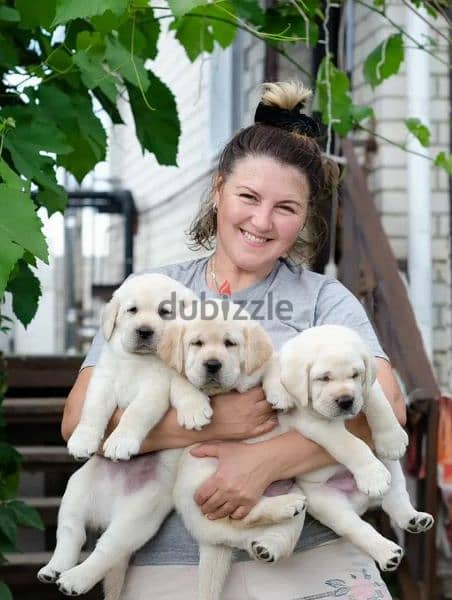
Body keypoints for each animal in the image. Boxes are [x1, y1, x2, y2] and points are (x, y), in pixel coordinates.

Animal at [38, 274, 213, 596]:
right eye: (132, 310)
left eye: (165, 312)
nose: (144, 331)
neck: (138, 362)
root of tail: (108, 510)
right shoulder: (103, 382)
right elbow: (93, 411)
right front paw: (83, 440)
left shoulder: (155, 389)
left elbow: (135, 414)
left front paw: (120, 443)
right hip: (76, 490)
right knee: (71, 533)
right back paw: (53, 568)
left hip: (135, 517)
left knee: (105, 550)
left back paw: (75, 579)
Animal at [159, 300, 308, 600]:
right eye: (196, 343)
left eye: (230, 343)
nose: (212, 365)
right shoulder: (176, 373)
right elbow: (182, 382)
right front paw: (194, 409)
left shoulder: (263, 361)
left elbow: (273, 365)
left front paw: (280, 393)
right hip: (200, 483)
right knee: (238, 520)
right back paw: (282, 508)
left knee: (250, 526)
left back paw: (270, 541)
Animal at [264, 326, 434, 576]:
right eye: (324, 378)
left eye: (355, 375)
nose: (346, 400)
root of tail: (360, 502)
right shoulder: (315, 424)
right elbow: (351, 444)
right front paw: (372, 476)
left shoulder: (368, 388)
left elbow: (379, 403)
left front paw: (392, 439)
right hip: (329, 504)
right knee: (357, 527)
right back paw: (387, 552)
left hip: (392, 470)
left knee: (395, 499)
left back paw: (414, 519)